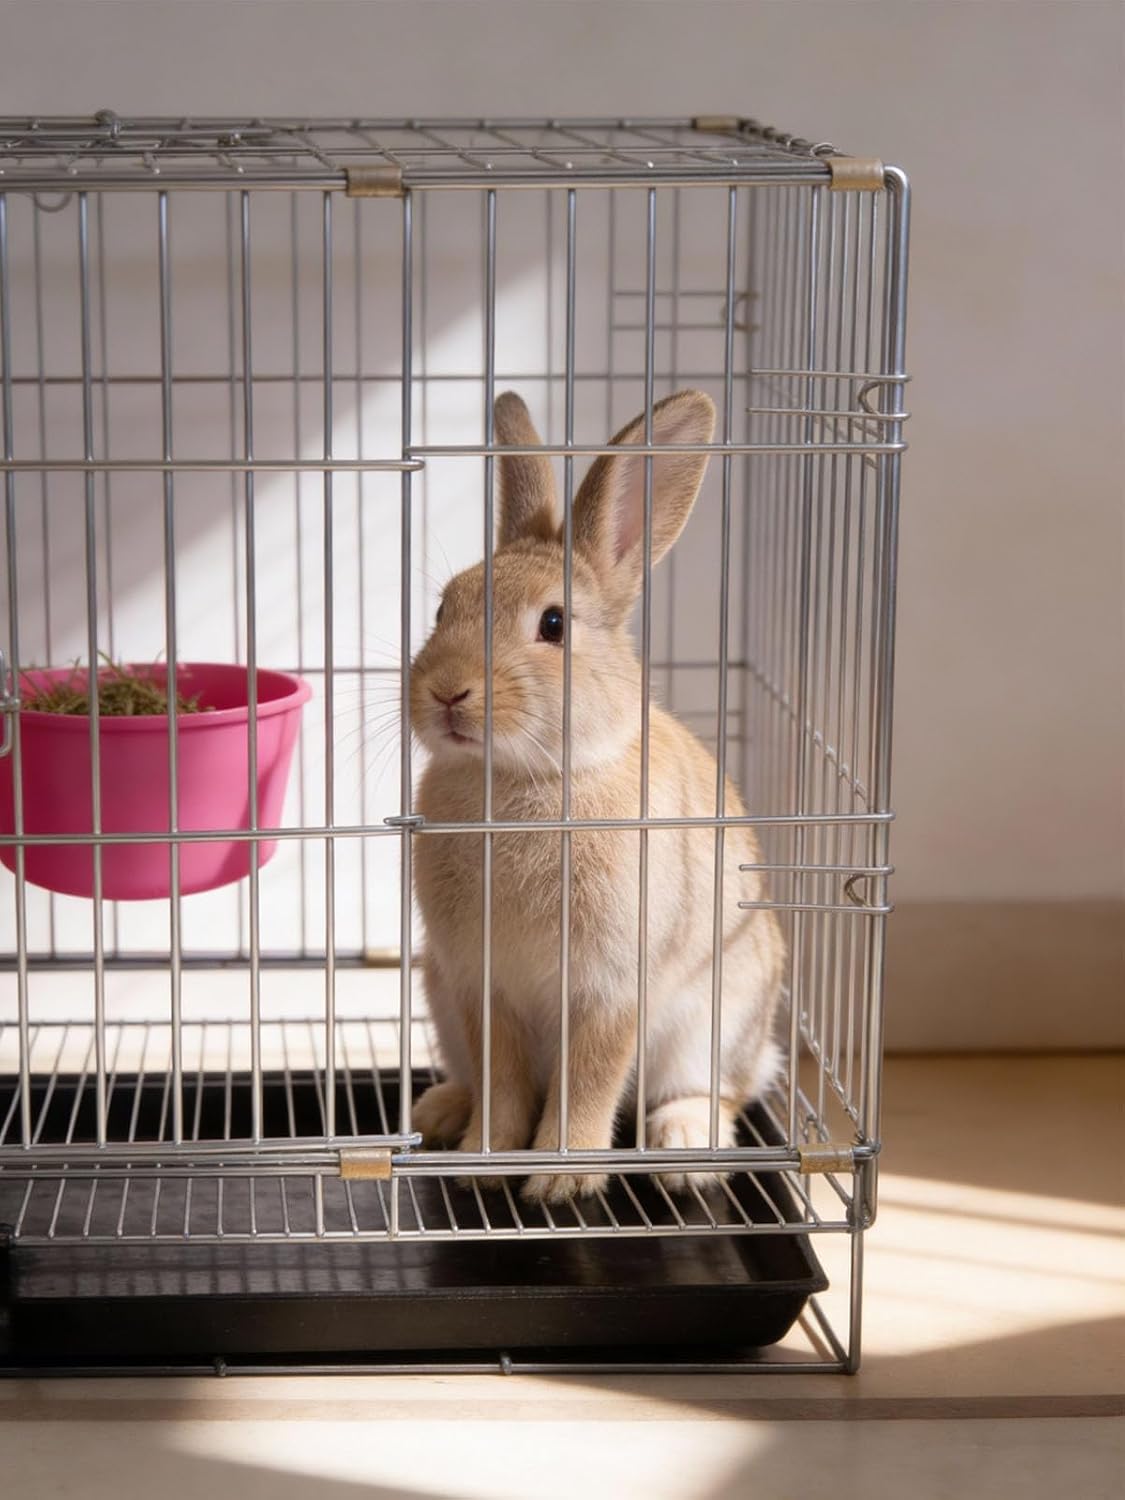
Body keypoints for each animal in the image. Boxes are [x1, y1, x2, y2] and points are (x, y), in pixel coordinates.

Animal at [410, 389, 785, 1205]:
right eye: (442, 609)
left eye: (553, 624)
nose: (447, 691)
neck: (529, 779)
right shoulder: (481, 987)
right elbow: (505, 1083)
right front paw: (483, 1162)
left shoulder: (609, 990)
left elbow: (587, 1079)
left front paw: (560, 1180)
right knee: (471, 1076)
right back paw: (440, 1111)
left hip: (719, 1020)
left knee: (723, 1091)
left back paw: (684, 1147)